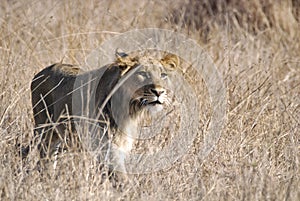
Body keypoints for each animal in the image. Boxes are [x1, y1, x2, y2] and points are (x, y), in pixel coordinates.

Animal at [29, 50, 178, 171]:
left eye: (163, 75)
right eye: (142, 73)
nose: (159, 92)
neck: (130, 109)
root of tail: (41, 72)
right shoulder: (107, 146)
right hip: (44, 129)